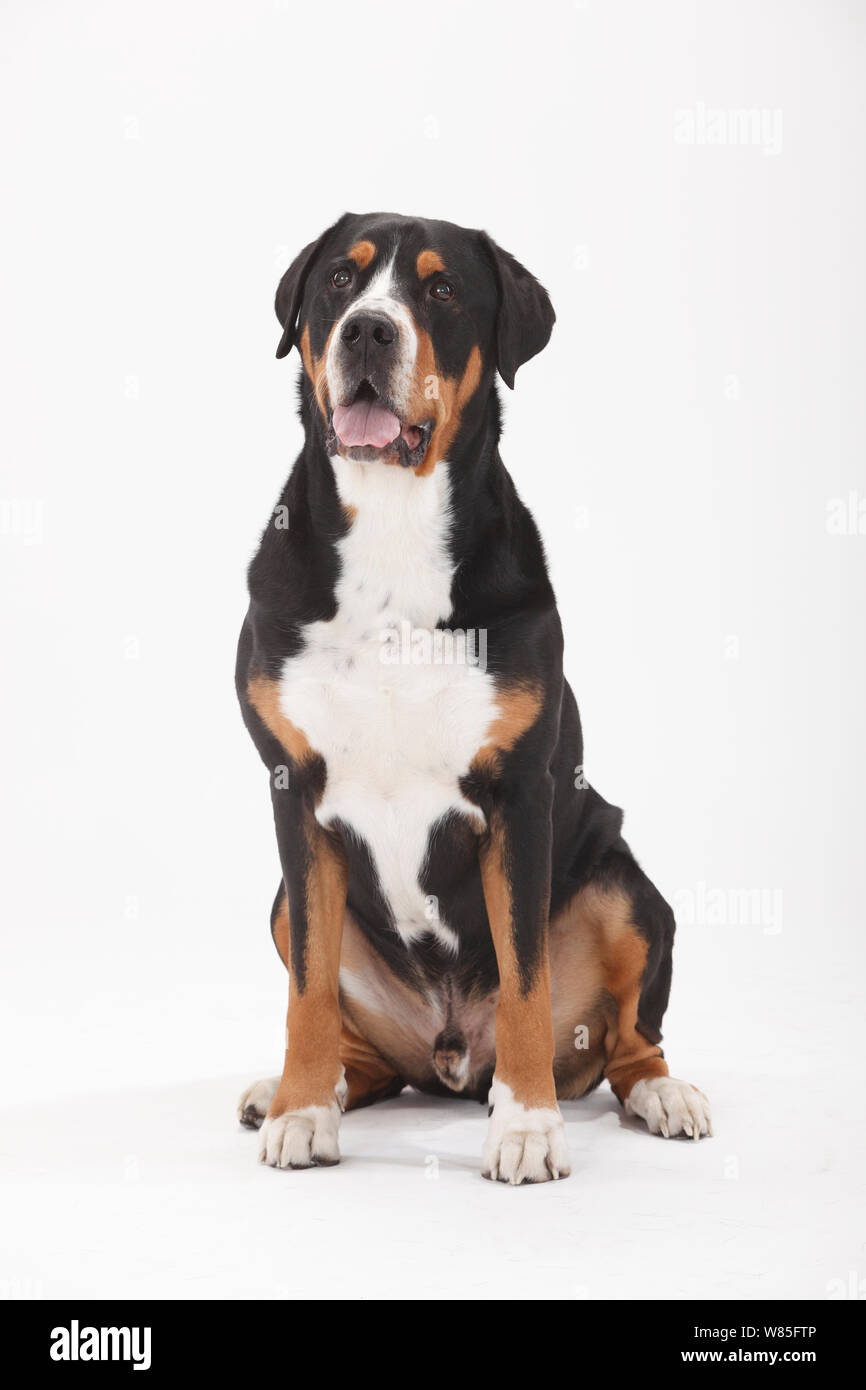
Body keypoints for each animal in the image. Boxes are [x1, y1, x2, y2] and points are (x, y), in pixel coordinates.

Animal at [234, 208, 711, 1184]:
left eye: (442, 290)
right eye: (340, 280)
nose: (368, 331)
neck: (392, 531)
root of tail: (451, 1055)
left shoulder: (517, 796)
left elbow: (527, 979)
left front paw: (527, 1127)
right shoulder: (294, 793)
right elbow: (307, 986)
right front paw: (302, 1110)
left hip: (624, 885)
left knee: (629, 1043)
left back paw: (663, 1093)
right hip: (288, 909)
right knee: (361, 1048)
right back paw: (306, 1087)